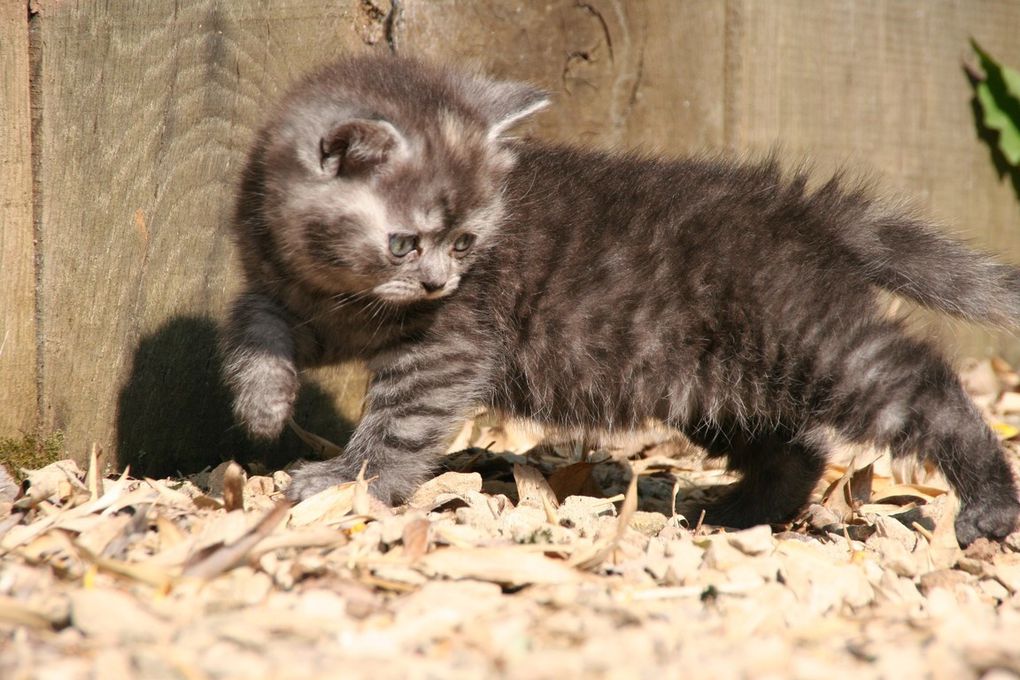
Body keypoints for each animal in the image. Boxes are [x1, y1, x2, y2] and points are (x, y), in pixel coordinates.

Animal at [223, 53, 1020, 546]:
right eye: (404, 244)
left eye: (467, 242)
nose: (438, 284)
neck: (337, 285)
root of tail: (808, 212)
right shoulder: (310, 305)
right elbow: (252, 318)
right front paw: (262, 401)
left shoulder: (444, 346)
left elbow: (400, 422)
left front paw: (348, 480)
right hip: (720, 387)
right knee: (798, 444)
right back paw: (745, 513)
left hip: (812, 347)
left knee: (918, 386)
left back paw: (990, 501)